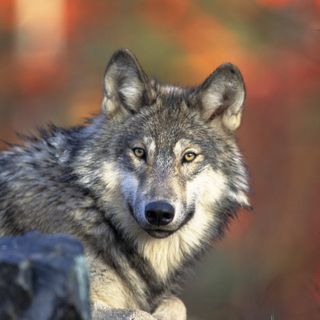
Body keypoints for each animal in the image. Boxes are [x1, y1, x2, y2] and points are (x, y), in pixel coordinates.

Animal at [0, 48, 250, 318]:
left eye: (189, 156)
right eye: (139, 152)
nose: (159, 212)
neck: (94, 212)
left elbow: (177, 303)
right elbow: (139, 313)